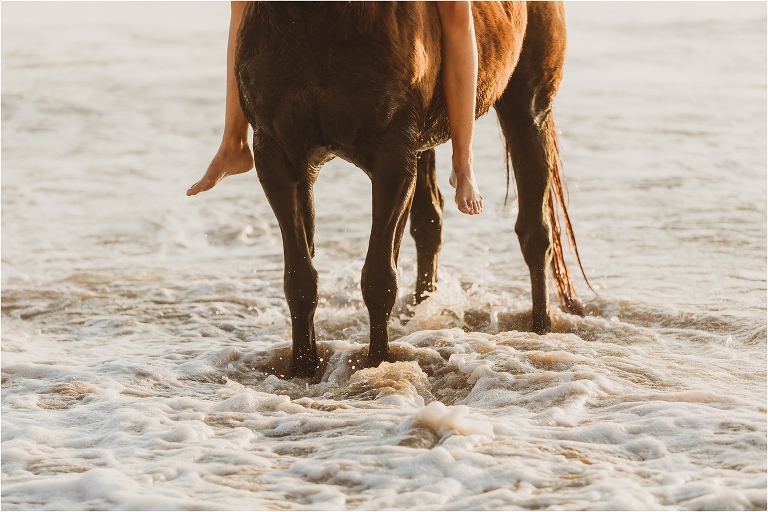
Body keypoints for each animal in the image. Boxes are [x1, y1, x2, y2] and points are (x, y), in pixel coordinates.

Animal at [234, 1, 588, 378]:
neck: (314, 20)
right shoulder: (278, 158)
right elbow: (300, 279)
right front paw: (302, 368)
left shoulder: (393, 159)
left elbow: (378, 278)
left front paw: (377, 364)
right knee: (430, 222)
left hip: (528, 109)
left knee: (535, 232)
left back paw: (540, 329)